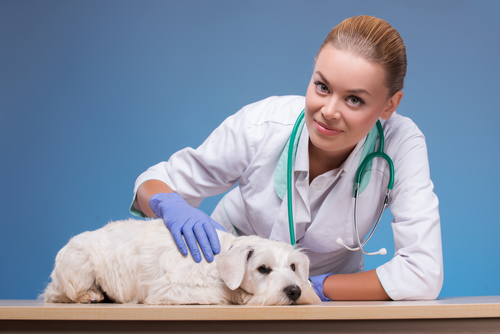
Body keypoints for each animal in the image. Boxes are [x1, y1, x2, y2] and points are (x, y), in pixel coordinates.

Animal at [41, 219, 318, 306]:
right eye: (263, 268)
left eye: (293, 267)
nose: (295, 291)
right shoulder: (170, 290)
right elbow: (223, 292)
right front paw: (241, 296)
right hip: (77, 265)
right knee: (63, 294)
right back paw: (91, 294)